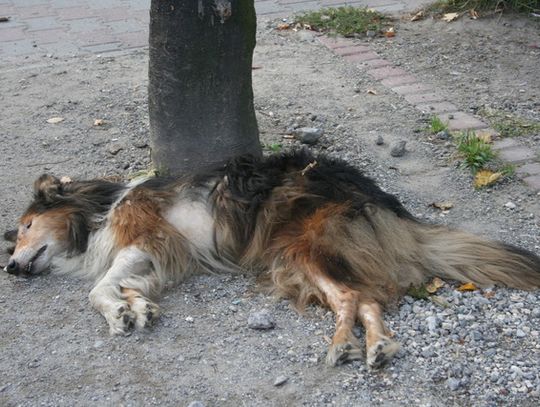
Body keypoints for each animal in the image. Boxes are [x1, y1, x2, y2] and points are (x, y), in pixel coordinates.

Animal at [4, 151, 540, 370]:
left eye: (26, 226)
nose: (9, 267)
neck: (99, 209)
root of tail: (386, 203)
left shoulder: (147, 238)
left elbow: (97, 287)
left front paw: (117, 310)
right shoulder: (154, 258)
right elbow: (126, 286)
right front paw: (136, 307)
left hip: (302, 249)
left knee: (353, 296)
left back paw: (344, 346)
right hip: (297, 262)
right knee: (365, 299)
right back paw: (374, 347)